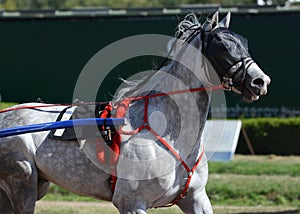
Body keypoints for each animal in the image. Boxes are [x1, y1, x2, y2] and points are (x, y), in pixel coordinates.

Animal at [0, 12, 270, 214]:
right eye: (222, 45)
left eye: (243, 42)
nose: (260, 81)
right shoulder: (132, 202)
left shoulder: (195, 198)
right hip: (22, 181)